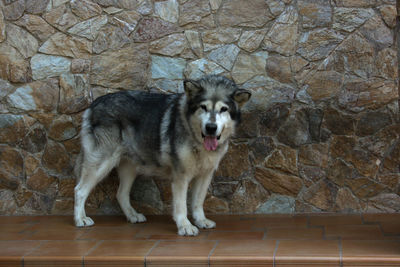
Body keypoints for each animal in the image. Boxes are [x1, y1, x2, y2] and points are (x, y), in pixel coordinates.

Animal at [73, 75, 252, 237]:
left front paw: (201, 221)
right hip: (101, 164)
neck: (195, 138)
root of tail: (93, 104)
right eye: (203, 107)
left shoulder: (205, 175)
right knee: (80, 190)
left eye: (224, 109)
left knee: (121, 194)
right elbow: (181, 205)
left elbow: (198, 202)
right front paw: (185, 226)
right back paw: (80, 219)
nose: (211, 127)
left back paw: (132, 215)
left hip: (129, 168)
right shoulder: (181, 176)